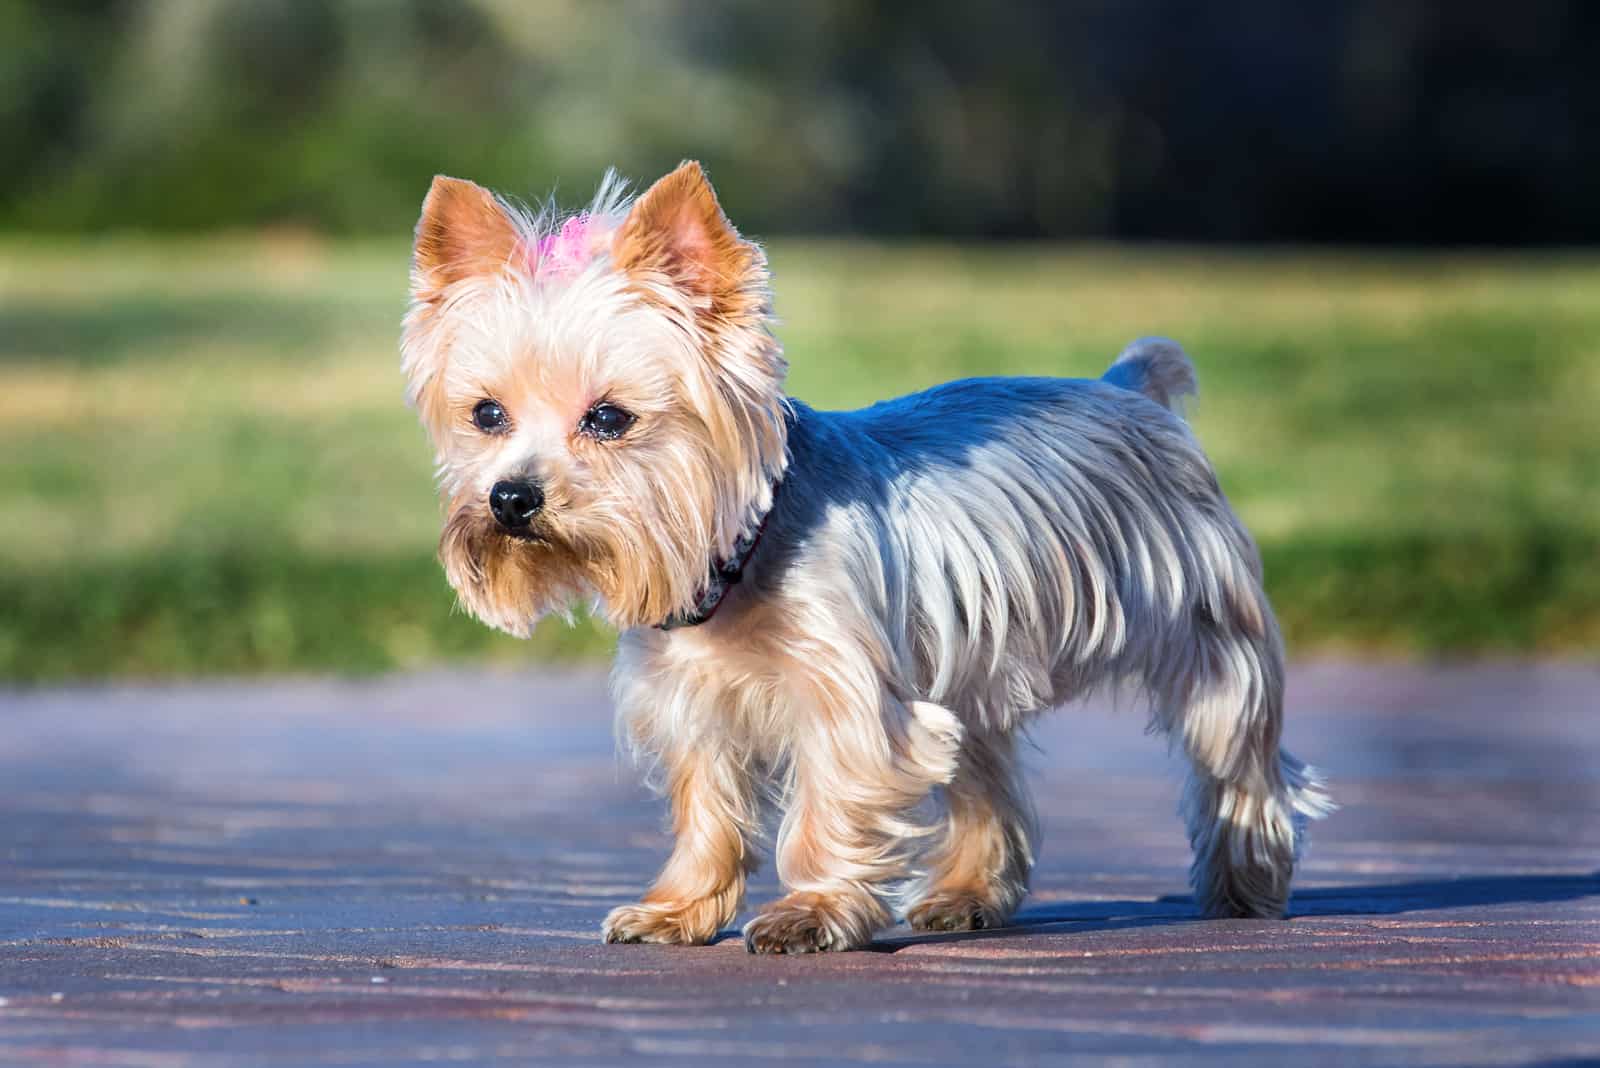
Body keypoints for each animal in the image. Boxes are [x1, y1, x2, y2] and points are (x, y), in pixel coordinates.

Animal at [400, 163, 1324, 952]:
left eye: (608, 419)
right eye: (487, 415)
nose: (512, 499)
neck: (739, 556)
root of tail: (1130, 389)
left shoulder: (849, 697)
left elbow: (829, 805)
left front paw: (811, 914)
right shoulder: (693, 703)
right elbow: (707, 809)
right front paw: (678, 910)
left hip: (1209, 632)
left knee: (1240, 757)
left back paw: (1246, 885)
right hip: (973, 669)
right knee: (987, 781)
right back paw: (966, 897)